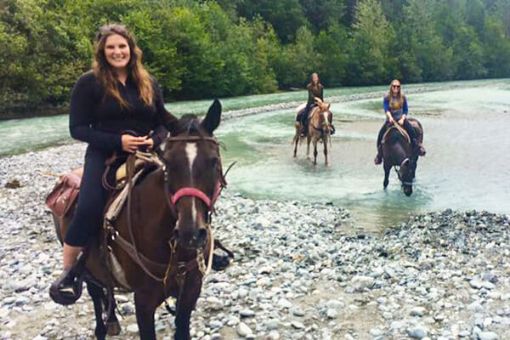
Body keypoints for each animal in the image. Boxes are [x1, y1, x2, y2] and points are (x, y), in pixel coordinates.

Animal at [52, 99, 227, 338]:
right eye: (168, 163)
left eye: (213, 161)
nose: (190, 234)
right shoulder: (143, 301)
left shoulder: (191, 290)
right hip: (85, 267)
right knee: (95, 293)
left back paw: (112, 320)